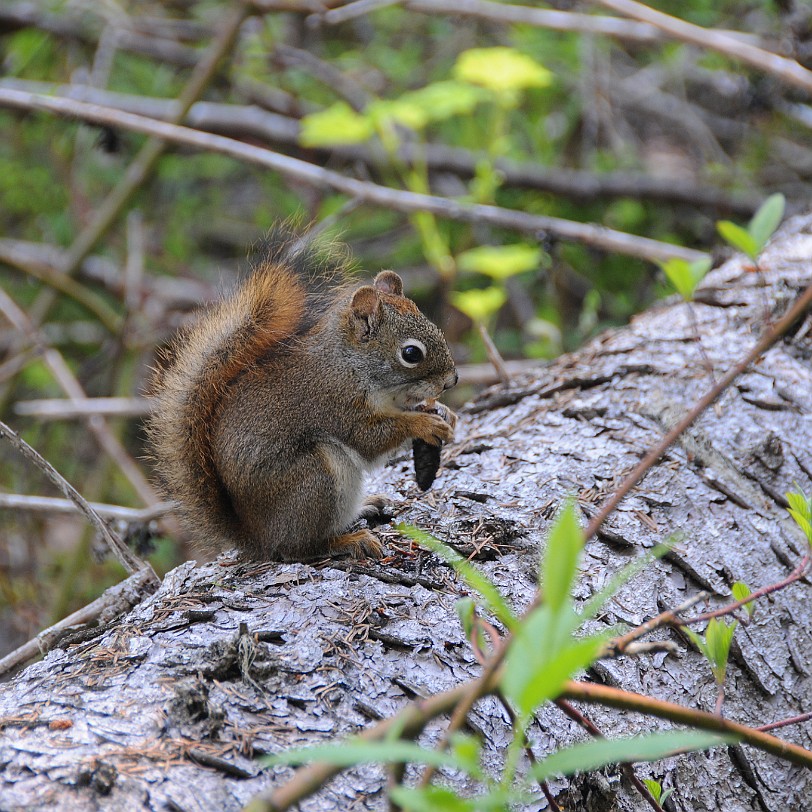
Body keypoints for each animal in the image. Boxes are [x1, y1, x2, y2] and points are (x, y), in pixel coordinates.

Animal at [145, 228, 456, 560]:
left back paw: (365, 507)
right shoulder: (335, 401)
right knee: (298, 547)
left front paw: (446, 412)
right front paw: (425, 424)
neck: (350, 363)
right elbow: (369, 438)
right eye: (411, 353)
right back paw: (348, 541)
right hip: (315, 478)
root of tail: (257, 538)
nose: (452, 380)